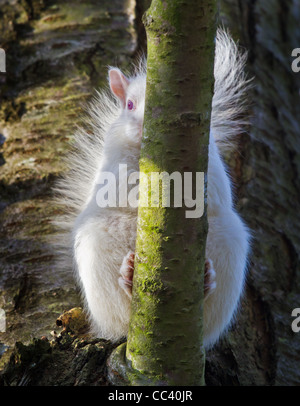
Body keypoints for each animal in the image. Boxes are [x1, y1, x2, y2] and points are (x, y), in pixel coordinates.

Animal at [53, 30, 251, 350]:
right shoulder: (116, 166)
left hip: (228, 251)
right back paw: (129, 278)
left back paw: (205, 281)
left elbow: (213, 190)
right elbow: (123, 187)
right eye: (129, 105)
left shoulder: (210, 163)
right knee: (120, 313)